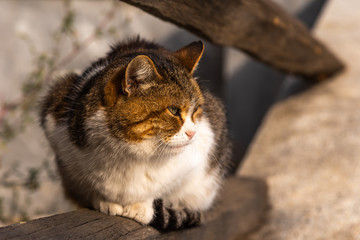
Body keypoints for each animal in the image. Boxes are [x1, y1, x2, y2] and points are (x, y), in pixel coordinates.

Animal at [38, 38, 231, 231]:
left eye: (196, 110)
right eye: (174, 110)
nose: (192, 133)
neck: (130, 151)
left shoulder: (202, 152)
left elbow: (159, 189)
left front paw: (141, 207)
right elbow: (92, 186)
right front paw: (105, 201)